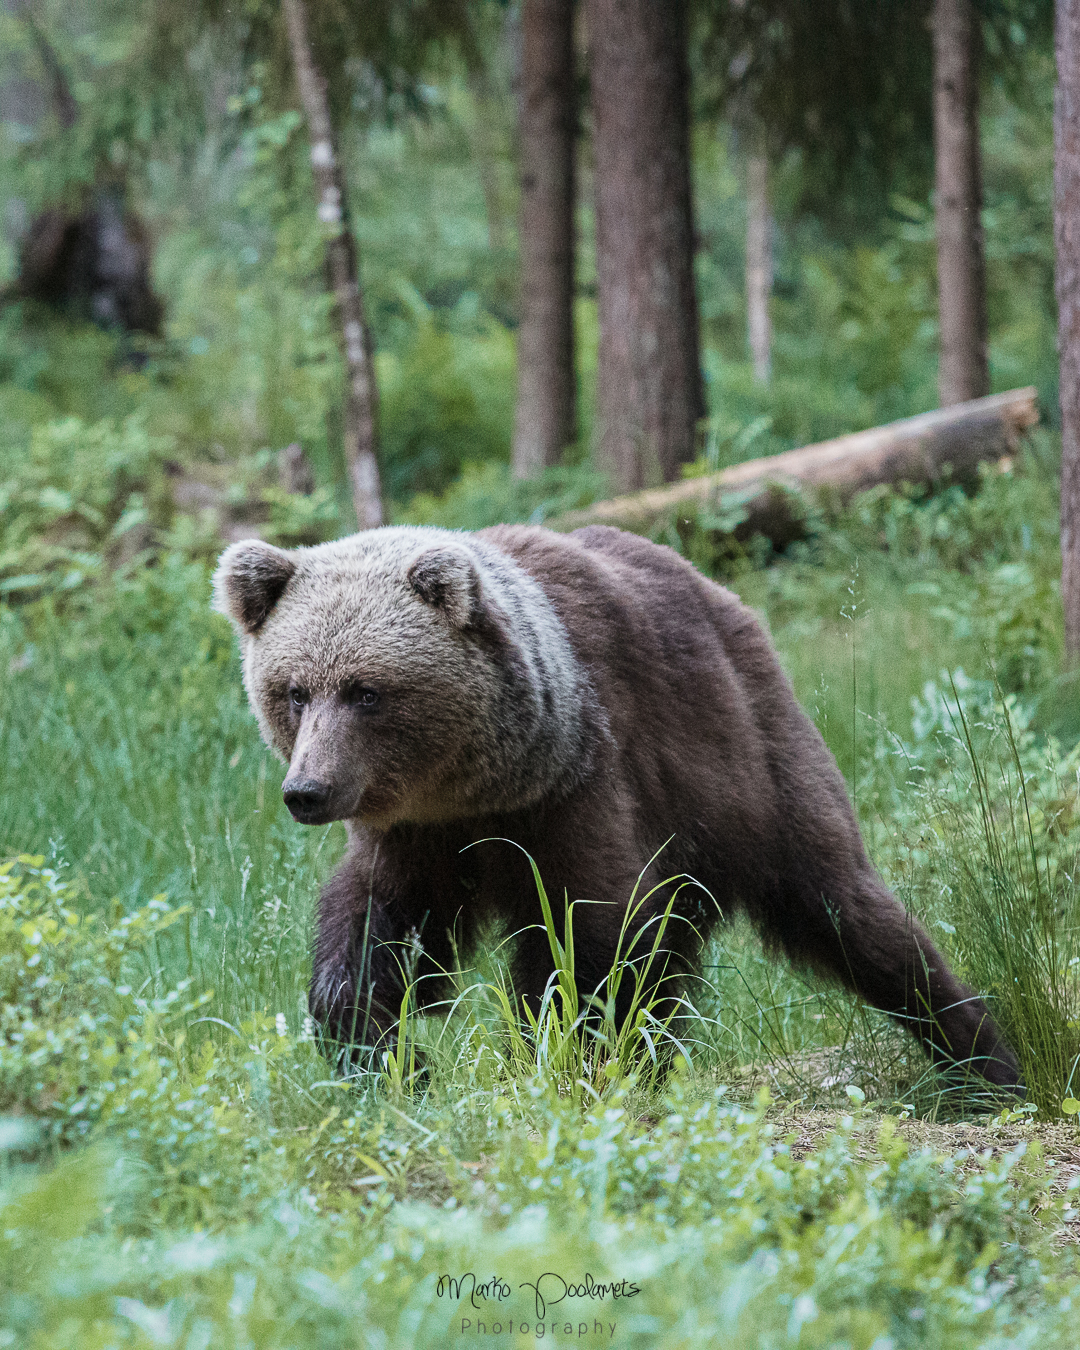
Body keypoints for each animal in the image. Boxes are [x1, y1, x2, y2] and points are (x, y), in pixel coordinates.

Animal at [214, 521, 1026, 1090]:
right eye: (293, 690)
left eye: (366, 690)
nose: (307, 791)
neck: (485, 785)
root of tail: (722, 594)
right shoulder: (418, 836)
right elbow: (375, 933)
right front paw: (390, 1058)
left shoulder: (579, 789)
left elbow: (590, 934)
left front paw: (567, 1057)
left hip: (752, 760)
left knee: (847, 910)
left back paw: (986, 1060)